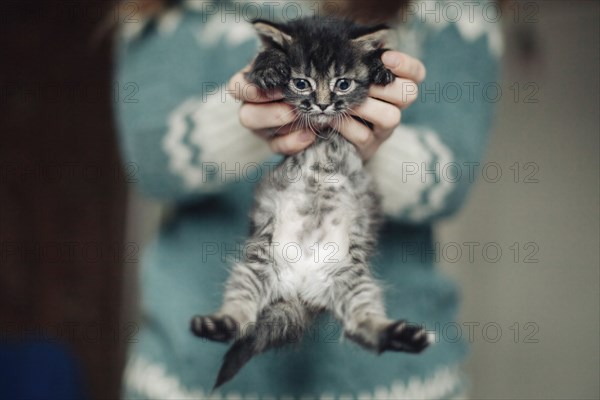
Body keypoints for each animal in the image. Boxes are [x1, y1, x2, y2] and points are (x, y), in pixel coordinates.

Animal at [190, 17, 428, 390]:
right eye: (301, 83)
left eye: (343, 84)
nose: (323, 105)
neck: (322, 130)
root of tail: (300, 289)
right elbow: (261, 62)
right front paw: (269, 67)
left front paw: (380, 65)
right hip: (256, 268)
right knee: (241, 313)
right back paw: (216, 325)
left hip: (352, 280)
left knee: (361, 327)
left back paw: (401, 336)